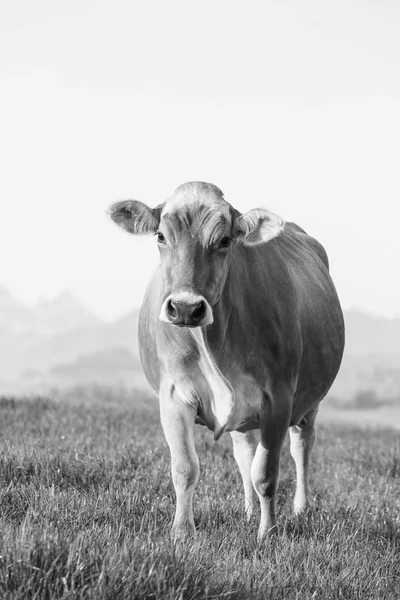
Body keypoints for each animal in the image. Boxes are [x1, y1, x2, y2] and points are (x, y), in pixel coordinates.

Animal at [108, 180, 346, 540]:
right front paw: (182, 532)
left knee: (302, 445)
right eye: (160, 236)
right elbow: (185, 467)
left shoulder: (279, 397)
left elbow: (267, 472)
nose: (186, 307)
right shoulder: (174, 394)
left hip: (309, 401)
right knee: (243, 449)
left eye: (224, 240)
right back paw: (247, 511)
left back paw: (301, 509)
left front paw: (268, 533)